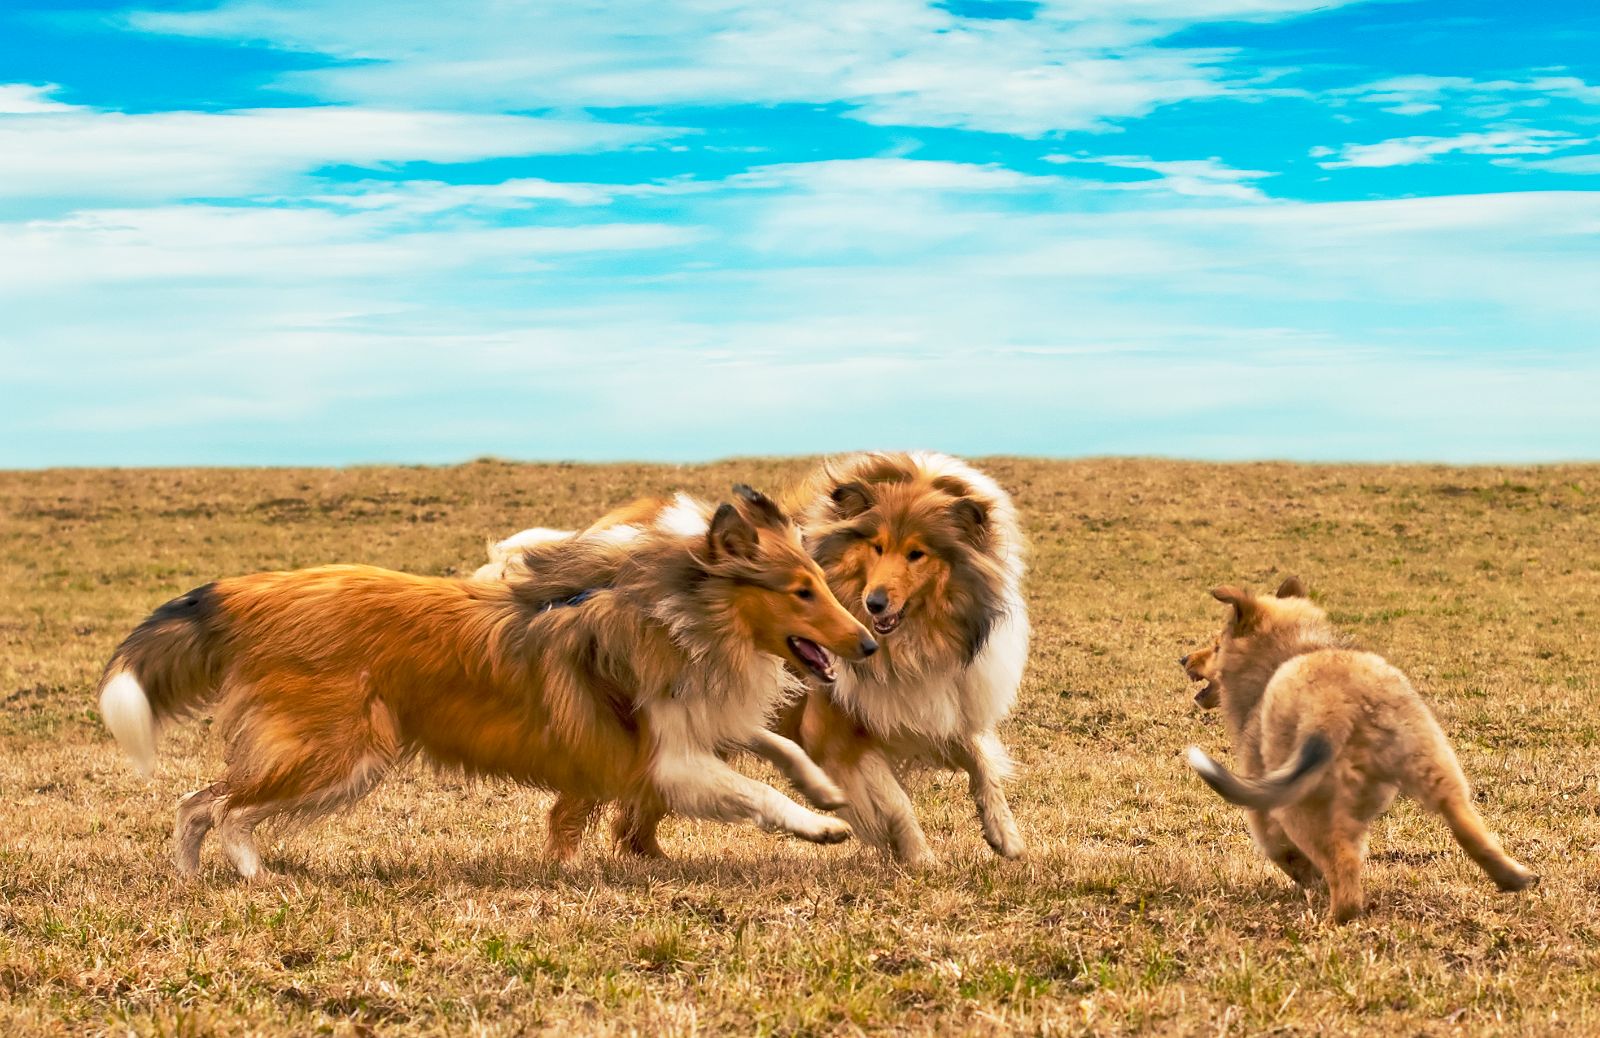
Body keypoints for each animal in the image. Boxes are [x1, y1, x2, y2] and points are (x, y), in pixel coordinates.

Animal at [96, 486, 876, 876]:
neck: (675, 605)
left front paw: (827, 790)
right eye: (801, 590)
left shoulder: (694, 719)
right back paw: (256, 879)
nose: (869, 641)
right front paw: (821, 826)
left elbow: (778, 748)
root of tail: (251, 593)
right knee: (221, 807)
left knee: (195, 805)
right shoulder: (667, 759)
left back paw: (194, 879)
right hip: (340, 752)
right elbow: (754, 790)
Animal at [486, 447, 1030, 863]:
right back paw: (565, 863)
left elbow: (982, 761)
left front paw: (1005, 836)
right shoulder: (833, 734)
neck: (914, 639)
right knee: (571, 809)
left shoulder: (938, 701)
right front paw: (919, 860)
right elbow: (895, 804)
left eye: (917, 553)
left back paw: (653, 859)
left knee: (637, 814)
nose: (876, 603)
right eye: (876, 547)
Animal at [1184, 575, 1529, 921]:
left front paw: (1309, 879)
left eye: (1217, 645)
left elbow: (1281, 849)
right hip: (1434, 765)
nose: (1183, 659)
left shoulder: (1263, 803)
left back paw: (1334, 919)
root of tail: (1337, 703)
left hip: (1302, 804)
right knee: (1466, 825)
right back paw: (1513, 877)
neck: (1289, 651)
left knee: (1343, 864)